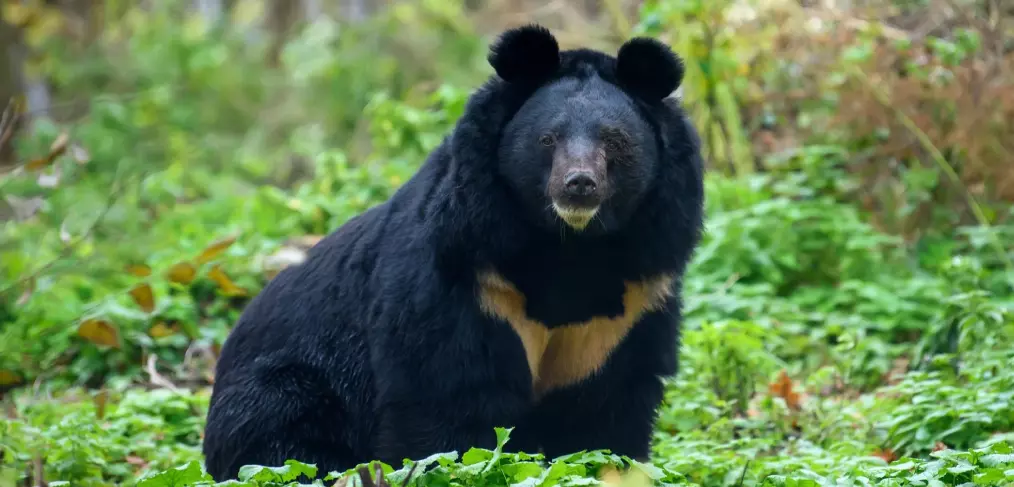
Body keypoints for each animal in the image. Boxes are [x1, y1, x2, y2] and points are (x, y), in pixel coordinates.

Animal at [199, 23, 705, 478]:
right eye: (548, 139)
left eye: (615, 140)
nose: (579, 184)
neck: (569, 246)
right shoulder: (466, 278)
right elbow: (447, 400)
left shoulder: (628, 307)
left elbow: (604, 411)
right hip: (285, 389)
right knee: (285, 448)